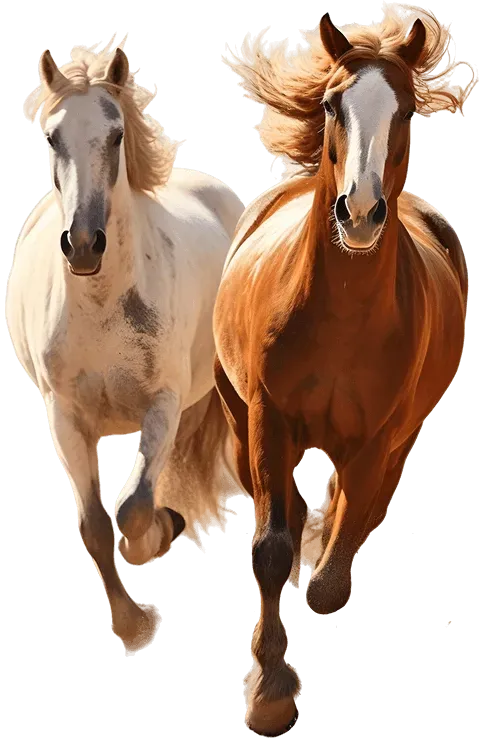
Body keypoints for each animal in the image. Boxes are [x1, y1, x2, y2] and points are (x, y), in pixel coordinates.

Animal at [7, 41, 245, 656]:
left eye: (115, 136)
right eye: (52, 138)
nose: (83, 245)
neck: (101, 305)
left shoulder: (162, 403)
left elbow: (133, 509)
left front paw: (159, 534)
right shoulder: (66, 415)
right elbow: (94, 523)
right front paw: (132, 625)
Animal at [214, 6, 473, 736]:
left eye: (406, 110)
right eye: (333, 104)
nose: (358, 213)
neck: (343, 316)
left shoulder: (377, 436)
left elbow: (339, 552)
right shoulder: (269, 418)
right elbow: (271, 548)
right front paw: (269, 692)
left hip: (398, 434)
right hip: (237, 417)